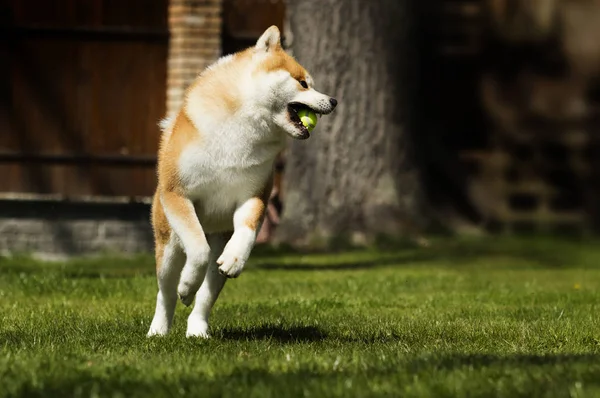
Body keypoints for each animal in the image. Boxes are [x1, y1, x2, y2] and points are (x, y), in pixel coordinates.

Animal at [147, 24, 338, 338]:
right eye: (303, 83)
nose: (334, 101)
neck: (242, 130)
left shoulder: (255, 196)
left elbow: (247, 231)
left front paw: (236, 258)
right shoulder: (178, 194)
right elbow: (197, 251)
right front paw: (187, 286)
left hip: (218, 248)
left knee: (207, 293)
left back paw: (198, 330)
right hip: (169, 243)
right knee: (166, 291)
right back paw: (159, 328)